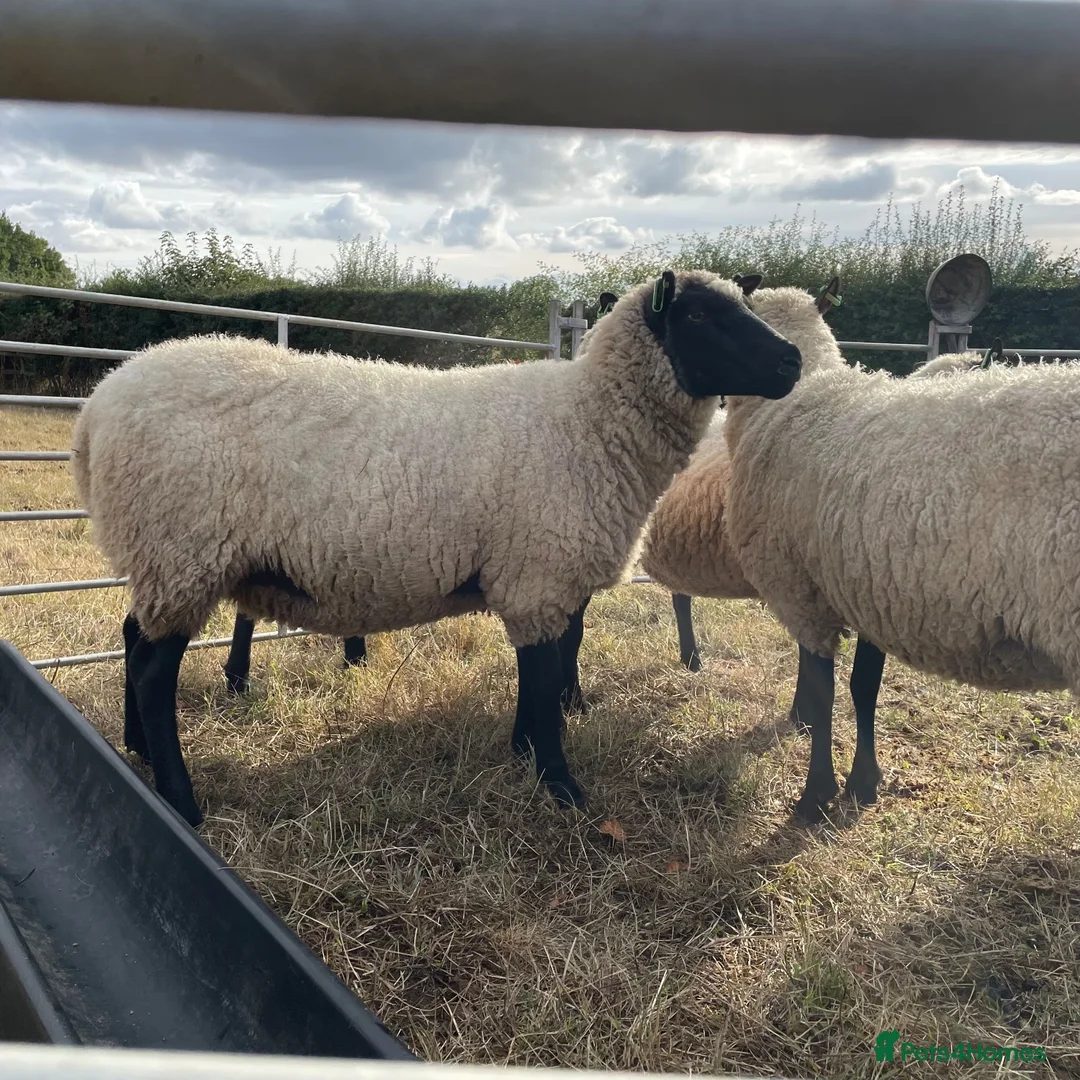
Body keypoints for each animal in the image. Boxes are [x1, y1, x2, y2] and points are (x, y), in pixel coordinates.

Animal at [71, 269, 803, 827]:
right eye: (700, 315)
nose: (792, 362)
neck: (590, 417)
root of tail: (98, 408)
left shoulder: (547, 577)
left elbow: (547, 670)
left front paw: (524, 753)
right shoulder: (539, 573)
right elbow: (544, 678)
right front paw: (561, 785)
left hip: (161, 561)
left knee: (134, 636)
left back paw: (136, 752)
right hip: (181, 550)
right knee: (153, 670)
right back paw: (180, 798)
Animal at [721, 296, 1080, 821]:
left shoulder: (800, 586)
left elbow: (826, 690)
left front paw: (816, 794)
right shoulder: (872, 585)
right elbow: (862, 686)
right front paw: (862, 781)